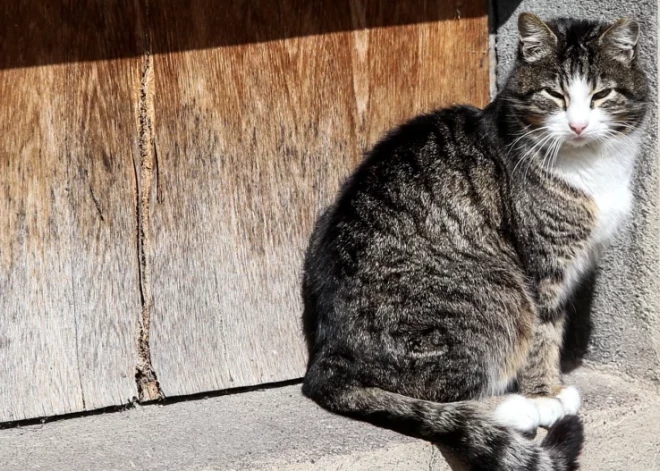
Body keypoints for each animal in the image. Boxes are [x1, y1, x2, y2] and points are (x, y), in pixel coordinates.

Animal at [300, 11, 648, 471]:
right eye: (553, 94)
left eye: (602, 95)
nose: (577, 125)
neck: (589, 166)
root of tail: (326, 357)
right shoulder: (542, 270)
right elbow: (544, 334)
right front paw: (545, 395)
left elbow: (555, 329)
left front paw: (552, 387)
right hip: (501, 296)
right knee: (437, 394)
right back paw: (514, 408)